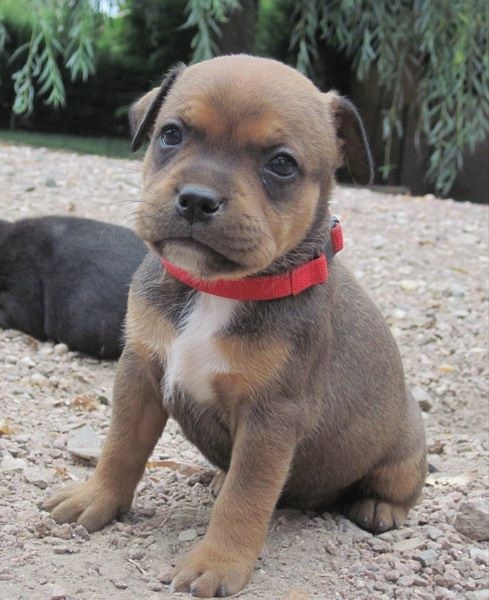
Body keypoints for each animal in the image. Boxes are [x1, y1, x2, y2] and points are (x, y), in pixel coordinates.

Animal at [43, 56, 427, 597]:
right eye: (172, 134)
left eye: (282, 164)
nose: (196, 200)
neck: (218, 289)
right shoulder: (140, 372)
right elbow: (120, 447)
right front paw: (96, 498)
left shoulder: (271, 417)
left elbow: (246, 498)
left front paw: (218, 562)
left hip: (405, 448)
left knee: (398, 485)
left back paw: (378, 507)